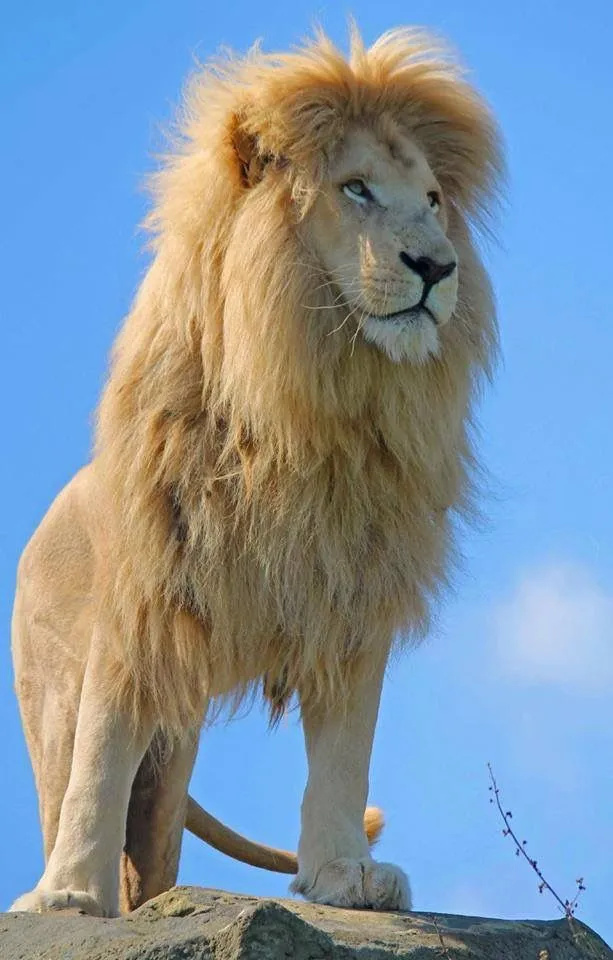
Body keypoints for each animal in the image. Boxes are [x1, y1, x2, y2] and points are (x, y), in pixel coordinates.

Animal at [9, 26, 502, 918]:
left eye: (433, 200)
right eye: (355, 190)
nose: (436, 267)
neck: (308, 399)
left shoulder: (353, 590)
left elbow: (344, 750)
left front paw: (344, 875)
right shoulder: (142, 597)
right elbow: (102, 746)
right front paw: (64, 898)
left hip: (174, 761)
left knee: (154, 853)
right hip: (58, 698)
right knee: (73, 775)